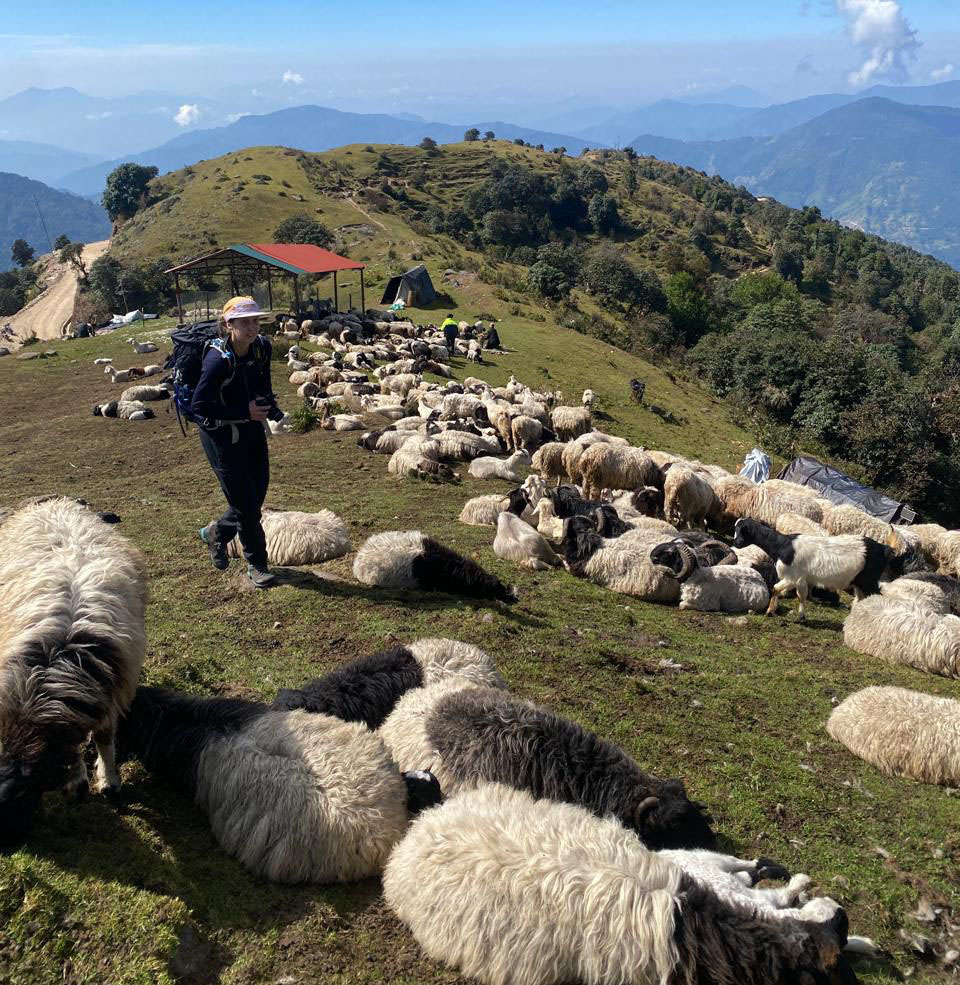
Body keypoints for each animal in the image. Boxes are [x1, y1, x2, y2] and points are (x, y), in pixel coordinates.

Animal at [0, 498, 147, 843]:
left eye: (21, 797)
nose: (9, 847)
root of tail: (56, 503)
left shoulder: (111, 691)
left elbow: (104, 736)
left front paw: (110, 783)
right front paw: (77, 782)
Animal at [732, 517, 895, 620]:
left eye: (741, 531)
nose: (735, 543)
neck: (783, 546)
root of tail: (883, 548)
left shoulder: (792, 577)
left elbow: (776, 588)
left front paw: (770, 611)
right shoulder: (802, 579)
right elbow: (801, 596)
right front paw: (801, 617)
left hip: (869, 582)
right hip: (860, 583)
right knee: (861, 600)